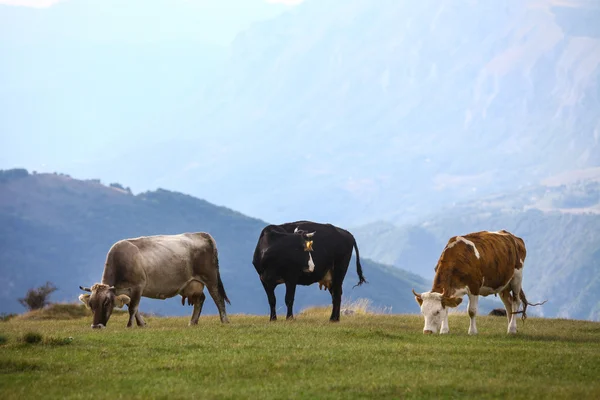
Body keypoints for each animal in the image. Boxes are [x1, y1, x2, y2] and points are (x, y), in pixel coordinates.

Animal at [79, 231, 230, 328]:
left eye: (106, 303)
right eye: (91, 304)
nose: (96, 326)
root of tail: (202, 234)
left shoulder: (138, 286)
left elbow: (132, 308)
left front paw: (130, 325)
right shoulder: (125, 291)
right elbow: (134, 308)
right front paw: (142, 324)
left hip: (211, 278)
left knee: (218, 298)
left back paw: (224, 321)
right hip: (191, 284)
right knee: (200, 299)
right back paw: (192, 322)